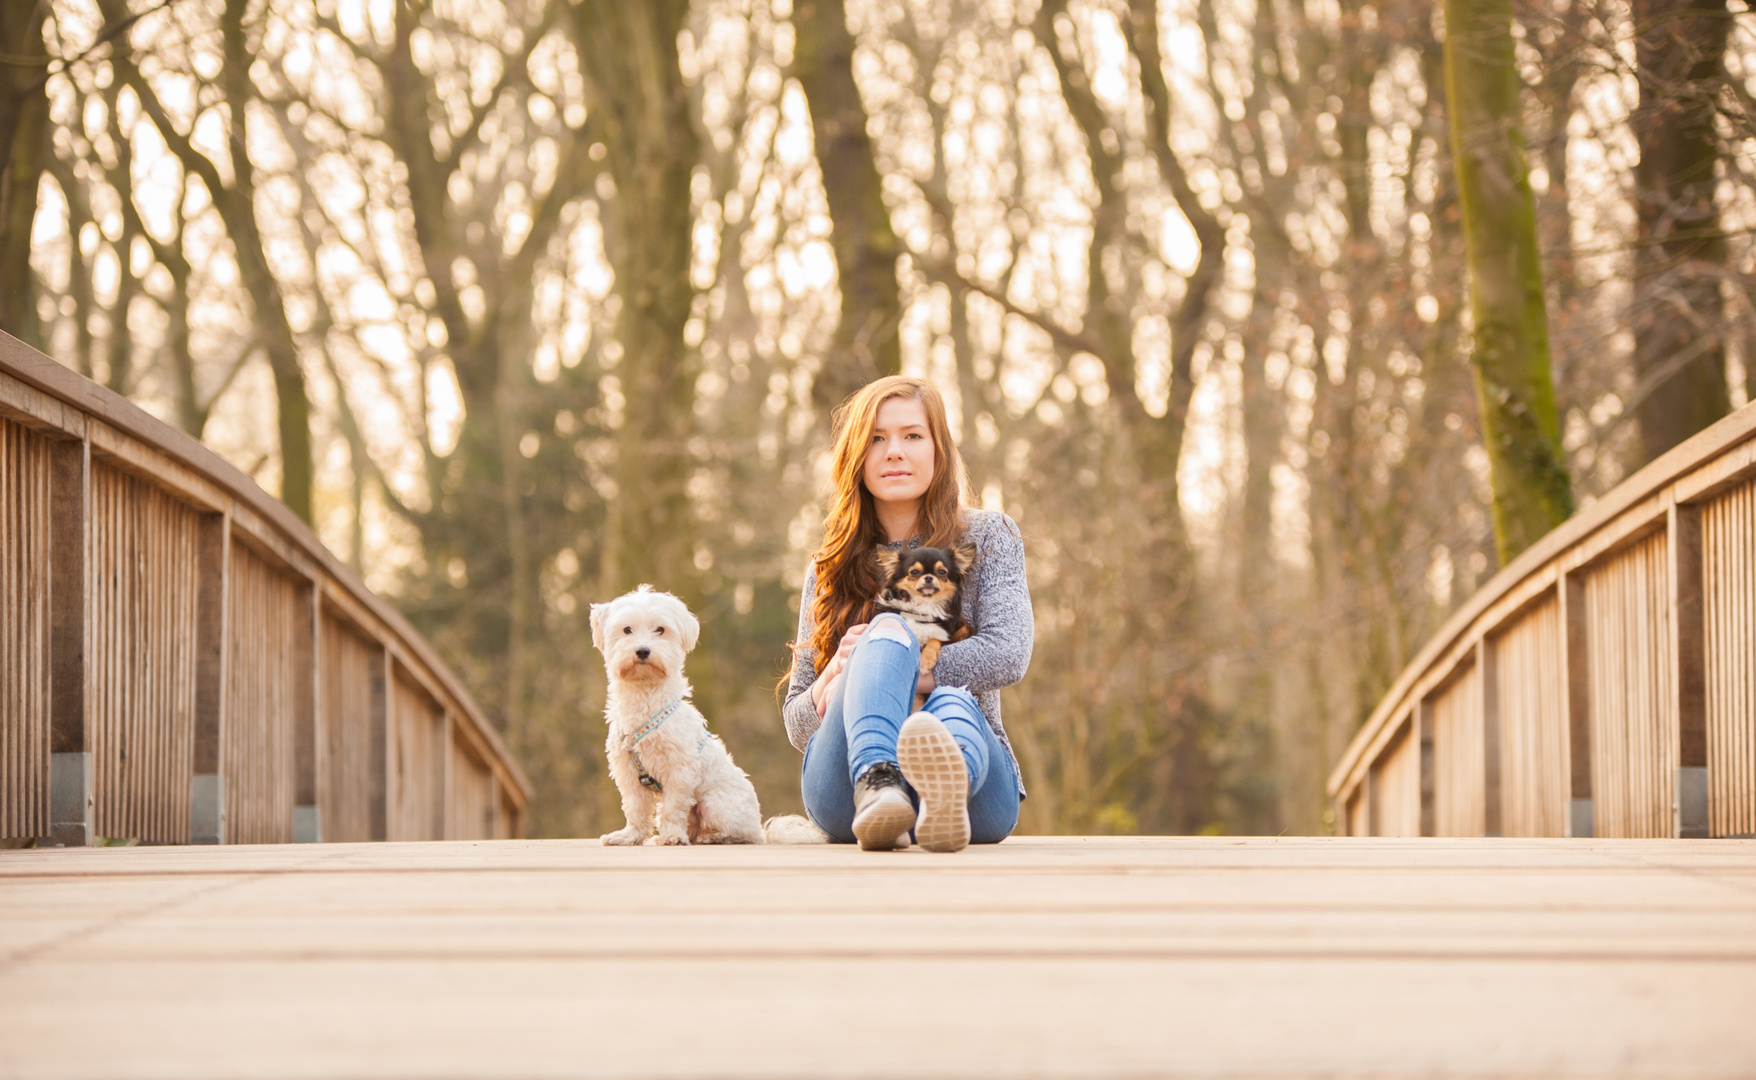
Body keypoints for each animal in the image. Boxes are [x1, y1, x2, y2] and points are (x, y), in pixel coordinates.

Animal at [590, 586, 762, 849]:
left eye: (660, 629)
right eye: (627, 629)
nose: (643, 650)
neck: (645, 697)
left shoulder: (679, 770)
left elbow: (672, 807)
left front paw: (671, 836)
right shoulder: (627, 772)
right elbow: (634, 808)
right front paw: (629, 836)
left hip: (715, 804)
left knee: (740, 833)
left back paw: (712, 836)